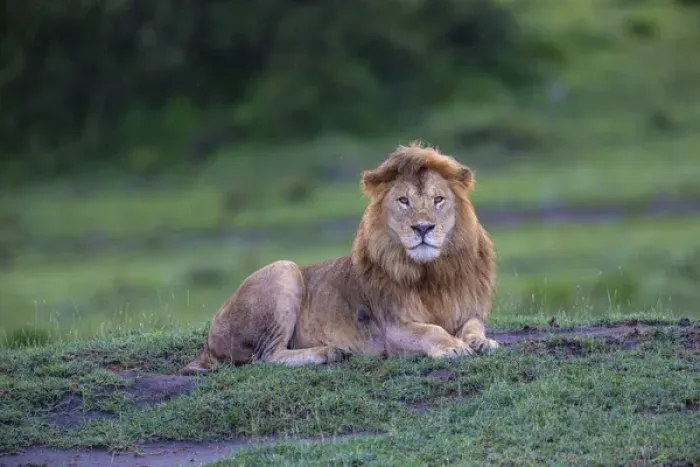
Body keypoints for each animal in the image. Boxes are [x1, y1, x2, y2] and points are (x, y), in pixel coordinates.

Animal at [183, 141, 498, 374]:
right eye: (404, 201)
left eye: (438, 200)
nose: (422, 228)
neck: (431, 273)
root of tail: (207, 345)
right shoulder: (393, 330)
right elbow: (431, 331)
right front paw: (453, 346)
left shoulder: (468, 310)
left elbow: (473, 327)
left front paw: (483, 342)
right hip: (283, 269)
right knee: (266, 357)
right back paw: (330, 352)